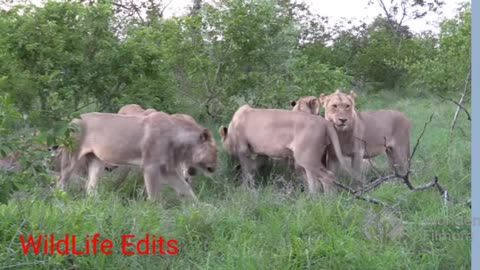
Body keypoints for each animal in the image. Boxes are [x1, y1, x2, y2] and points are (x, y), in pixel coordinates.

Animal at [55, 112, 218, 200]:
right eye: (216, 151)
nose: (216, 167)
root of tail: (71, 119)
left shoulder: (167, 169)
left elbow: (185, 188)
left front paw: (201, 208)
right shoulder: (151, 166)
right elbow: (154, 194)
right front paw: (154, 215)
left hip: (96, 161)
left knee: (90, 187)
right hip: (71, 156)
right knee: (61, 181)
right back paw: (60, 199)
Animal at [219, 104, 350, 194]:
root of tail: (325, 123)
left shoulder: (243, 150)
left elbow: (246, 171)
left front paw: (245, 189)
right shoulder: (262, 154)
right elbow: (253, 168)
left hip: (306, 158)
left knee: (328, 177)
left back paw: (328, 201)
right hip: (310, 160)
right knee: (314, 183)